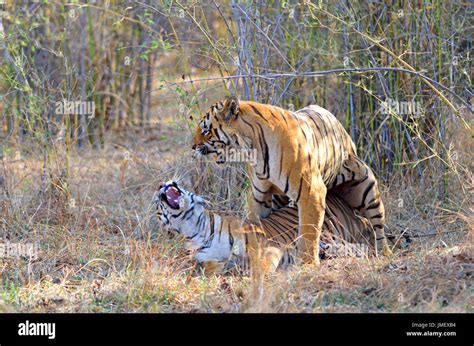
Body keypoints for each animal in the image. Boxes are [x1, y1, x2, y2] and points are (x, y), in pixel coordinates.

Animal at [157, 180, 376, 274]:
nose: (163, 183)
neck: (196, 229)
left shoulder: (267, 246)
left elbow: (262, 266)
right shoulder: (207, 261)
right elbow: (211, 267)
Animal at [191, 96, 390, 264]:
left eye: (205, 130)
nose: (192, 145)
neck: (253, 149)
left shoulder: (311, 192)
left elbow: (309, 231)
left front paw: (308, 263)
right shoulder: (259, 195)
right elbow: (258, 223)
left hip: (367, 190)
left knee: (377, 226)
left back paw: (384, 252)